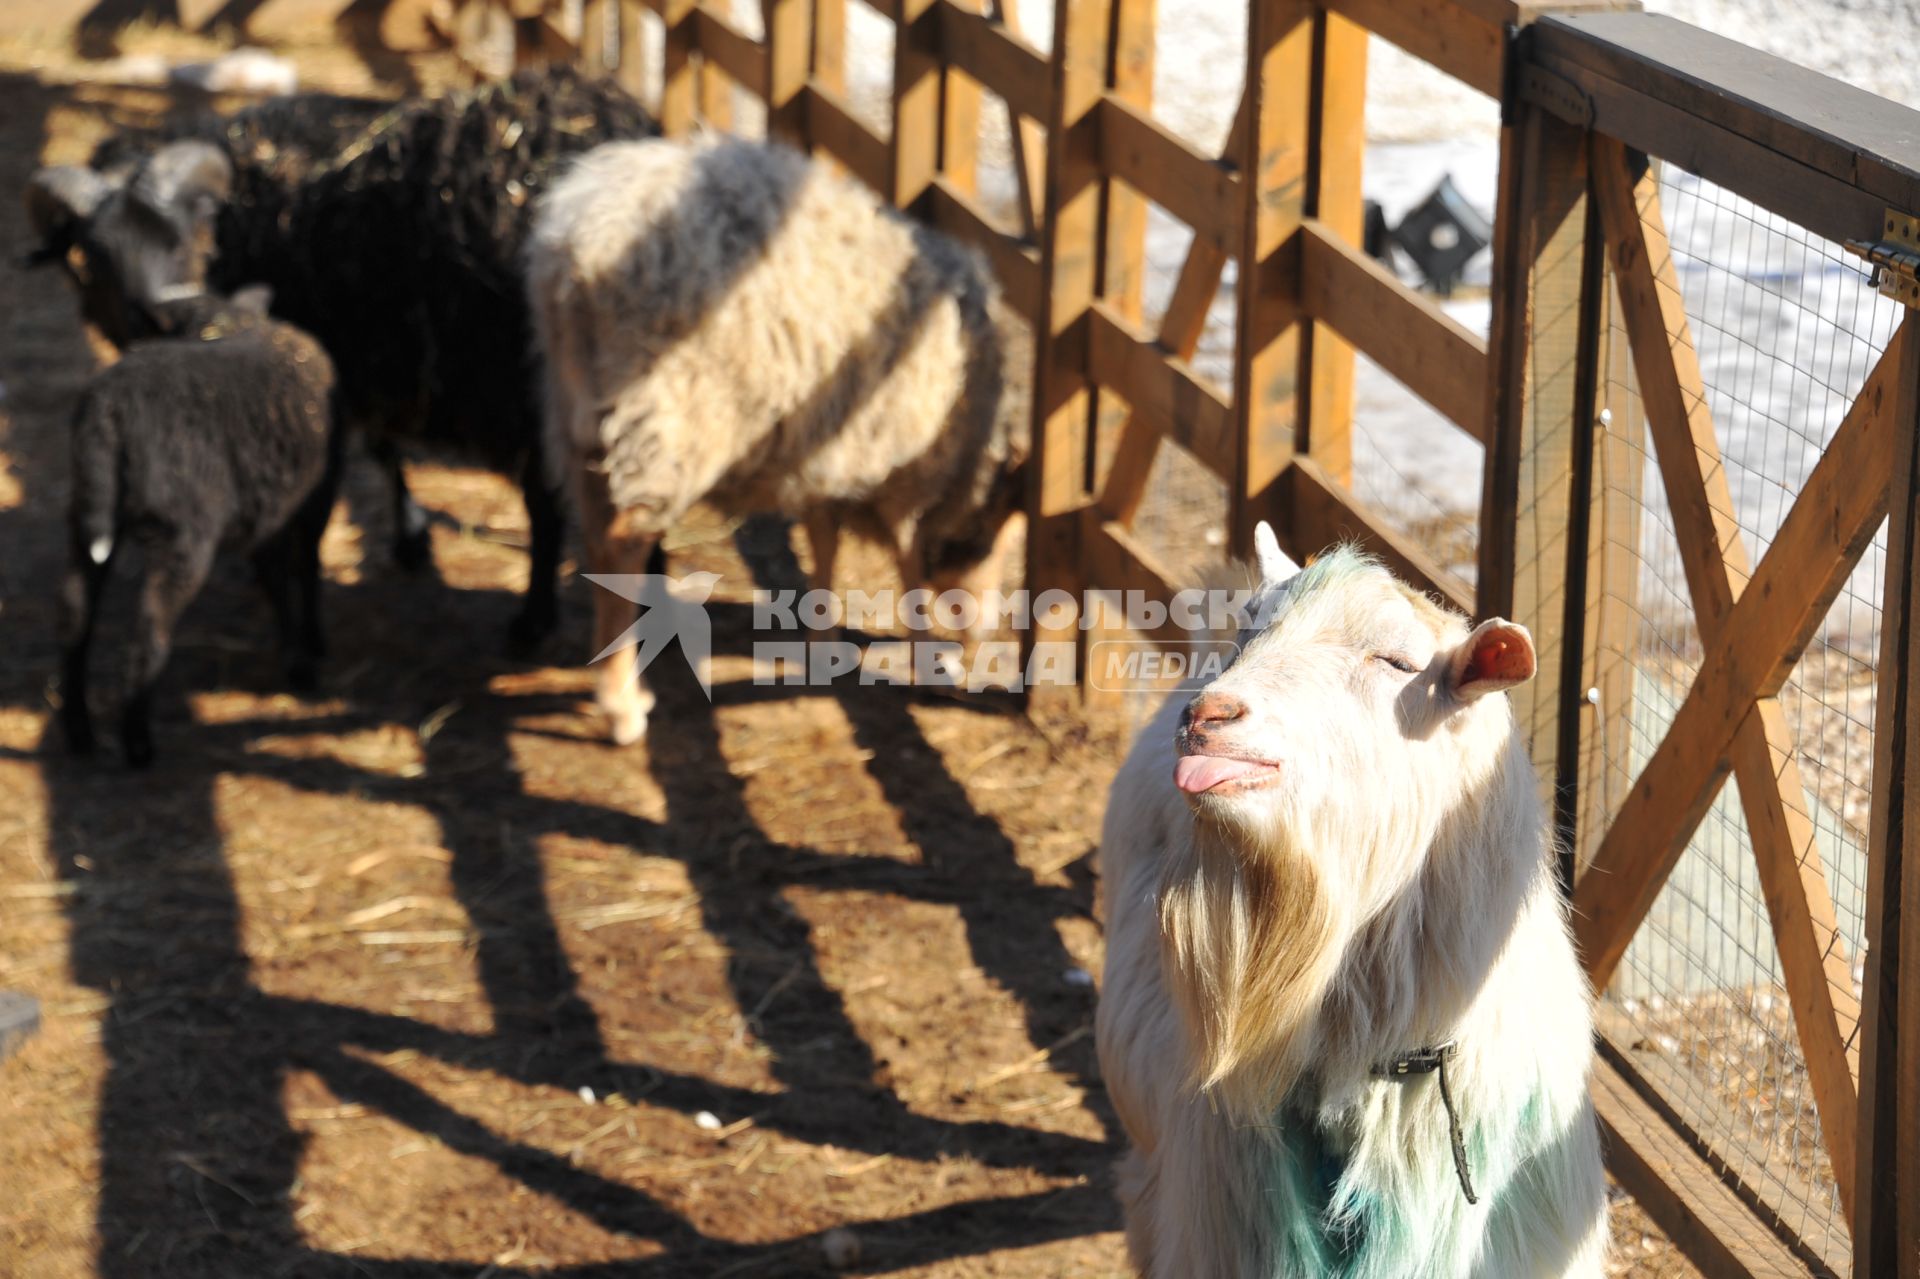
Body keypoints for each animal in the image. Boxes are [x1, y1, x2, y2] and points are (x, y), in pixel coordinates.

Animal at [24, 68, 660, 649]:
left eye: (183, 234)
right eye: (92, 254)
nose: (151, 316)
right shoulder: (362, 360)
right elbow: (383, 449)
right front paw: (410, 538)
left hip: (525, 382)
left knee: (549, 505)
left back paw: (539, 620)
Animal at [62, 288, 341, 768]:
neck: (230, 323)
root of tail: (108, 414)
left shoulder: (267, 510)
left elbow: (275, 577)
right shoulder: (310, 498)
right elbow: (303, 570)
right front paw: (308, 652)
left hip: (86, 516)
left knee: (76, 616)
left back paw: (79, 733)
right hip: (184, 535)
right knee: (150, 631)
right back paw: (138, 743)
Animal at [526, 135, 1029, 741]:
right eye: (998, 541)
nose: (981, 636)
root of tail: (576, 248)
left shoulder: (827, 454)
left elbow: (823, 540)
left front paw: (823, 638)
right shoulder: (907, 475)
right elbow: (908, 568)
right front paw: (930, 662)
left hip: (577, 413)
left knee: (597, 532)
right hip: (667, 419)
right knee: (622, 540)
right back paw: (622, 707)